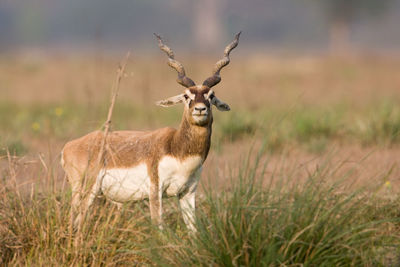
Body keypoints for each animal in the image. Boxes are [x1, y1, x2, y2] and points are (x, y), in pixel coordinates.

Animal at [60, 31, 241, 232]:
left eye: (211, 95)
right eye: (186, 96)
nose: (200, 109)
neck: (178, 149)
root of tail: (68, 147)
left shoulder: (188, 193)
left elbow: (194, 230)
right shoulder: (156, 191)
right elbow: (159, 228)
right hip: (85, 191)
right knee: (75, 221)